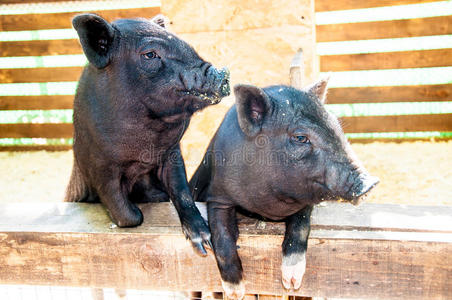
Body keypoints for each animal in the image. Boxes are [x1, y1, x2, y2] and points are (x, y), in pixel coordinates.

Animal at [66, 12, 230, 254]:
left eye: (186, 44)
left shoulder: (171, 154)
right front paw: (139, 209)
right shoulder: (98, 166)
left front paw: (204, 244)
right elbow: (127, 214)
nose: (222, 73)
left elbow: (182, 193)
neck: (144, 152)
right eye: (150, 54)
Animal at [189, 79, 380, 298]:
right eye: (300, 137)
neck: (268, 207)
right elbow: (222, 236)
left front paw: (291, 283)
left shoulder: (307, 197)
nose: (371, 182)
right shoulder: (218, 196)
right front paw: (236, 291)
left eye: (337, 127)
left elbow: (301, 226)